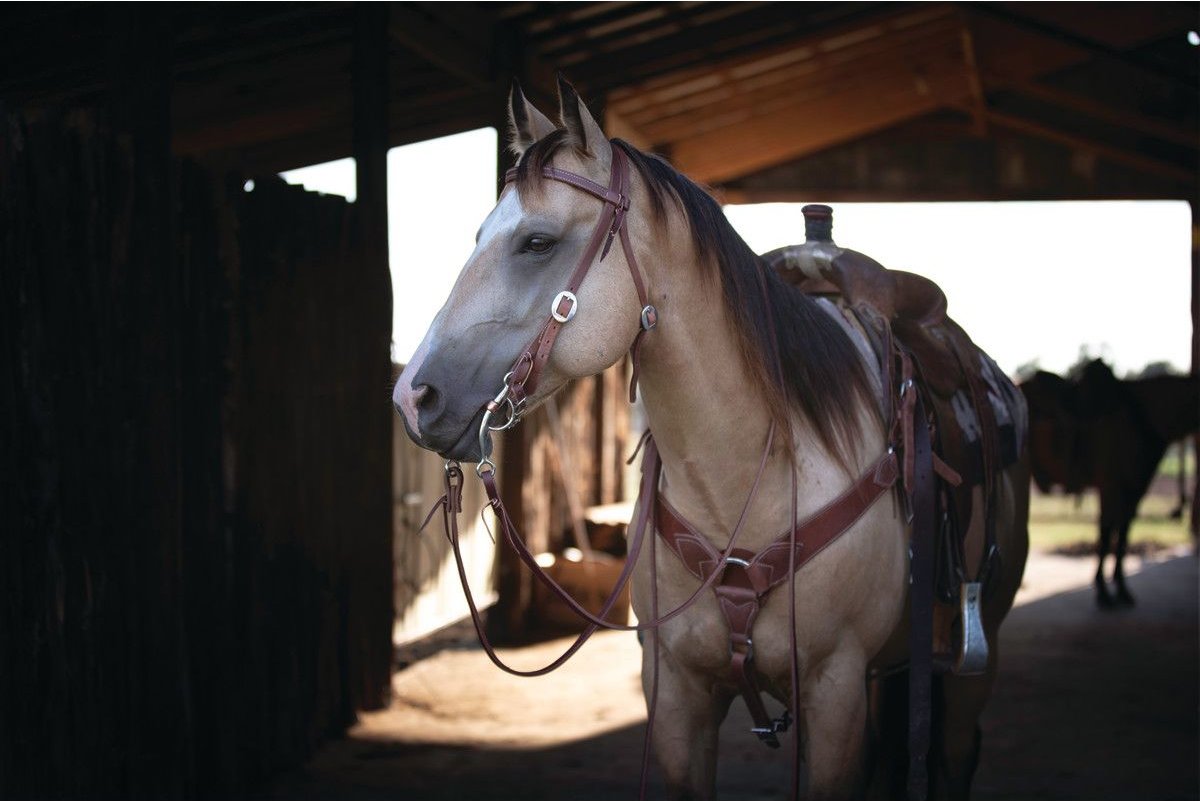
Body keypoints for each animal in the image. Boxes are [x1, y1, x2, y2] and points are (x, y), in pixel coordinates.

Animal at [393, 79, 1032, 801]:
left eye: (536, 241)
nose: (413, 396)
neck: (743, 487)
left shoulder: (835, 691)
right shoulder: (677, 694)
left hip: (971, 661)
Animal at [1022, 359, 1200, 604]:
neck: (1142, 415)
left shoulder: (1135, 488)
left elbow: (1122, 534)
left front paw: (1121, 588)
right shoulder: (1111, 485)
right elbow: (1107, 534)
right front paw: (1104, 591)